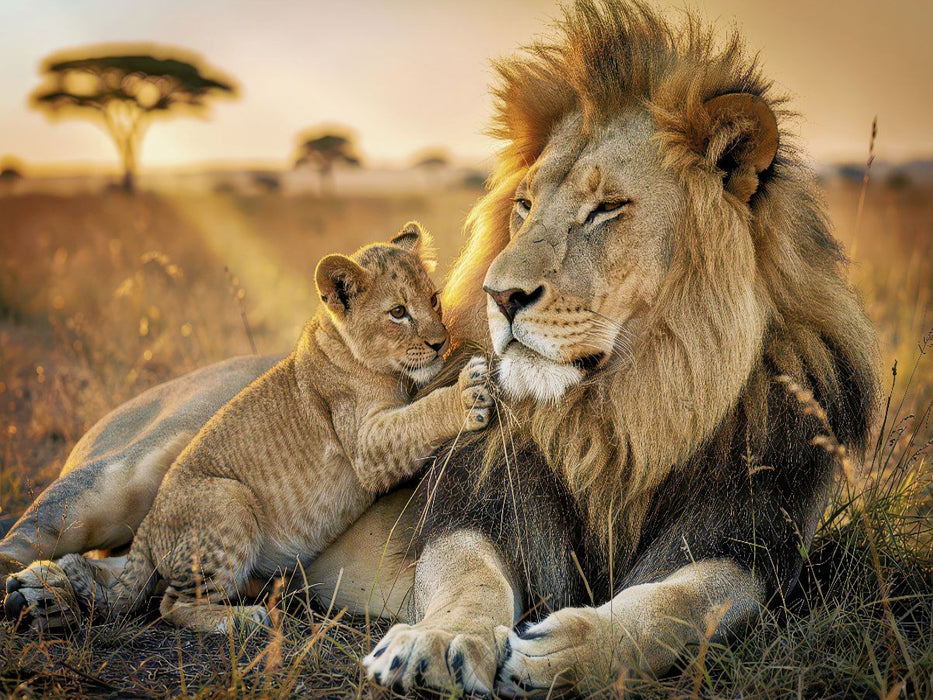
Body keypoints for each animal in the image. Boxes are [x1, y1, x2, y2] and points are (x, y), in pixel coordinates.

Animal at [2, 0, 877, 695]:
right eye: (523, 206)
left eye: (605, 210)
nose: (498, 296)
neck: (628, 410)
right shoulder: (467, 501)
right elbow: (470, 578)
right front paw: (437, 644)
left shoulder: (747, 538)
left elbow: (678, 605)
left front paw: (569, 651)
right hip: (124, 477)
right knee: (48, 544)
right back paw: (48, 590)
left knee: (140, 571)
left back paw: (66, 592)